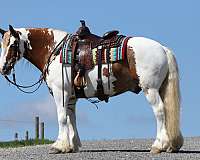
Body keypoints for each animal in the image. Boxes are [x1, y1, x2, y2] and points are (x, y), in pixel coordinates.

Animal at [0, 25, 183, 154]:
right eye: (2, 45)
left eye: (13, 44)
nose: (3, 68)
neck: (55, 51)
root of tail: (163, 49)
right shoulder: (71, 96)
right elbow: (71, 118)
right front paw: (72, 145)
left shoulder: (61, 93)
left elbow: (62, 117)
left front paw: (59, 146)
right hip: (160, 88)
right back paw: (170, 145)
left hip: (150, 89)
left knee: (160, 112)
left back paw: (158, 145)